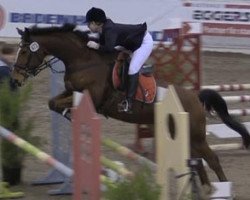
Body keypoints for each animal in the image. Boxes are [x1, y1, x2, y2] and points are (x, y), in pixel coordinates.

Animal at [9, 23, 246, 192]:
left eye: (24, 52)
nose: (15, 80)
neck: (84, 60)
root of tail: (195, 96)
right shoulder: (71, 93)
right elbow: (52, 103)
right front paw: (68, 114)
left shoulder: (93, 98)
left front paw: (70, 113)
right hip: (181, 135)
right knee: (197, 162)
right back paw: (206, 190)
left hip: (195, 135)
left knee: (212, 159)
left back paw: (221, 188)